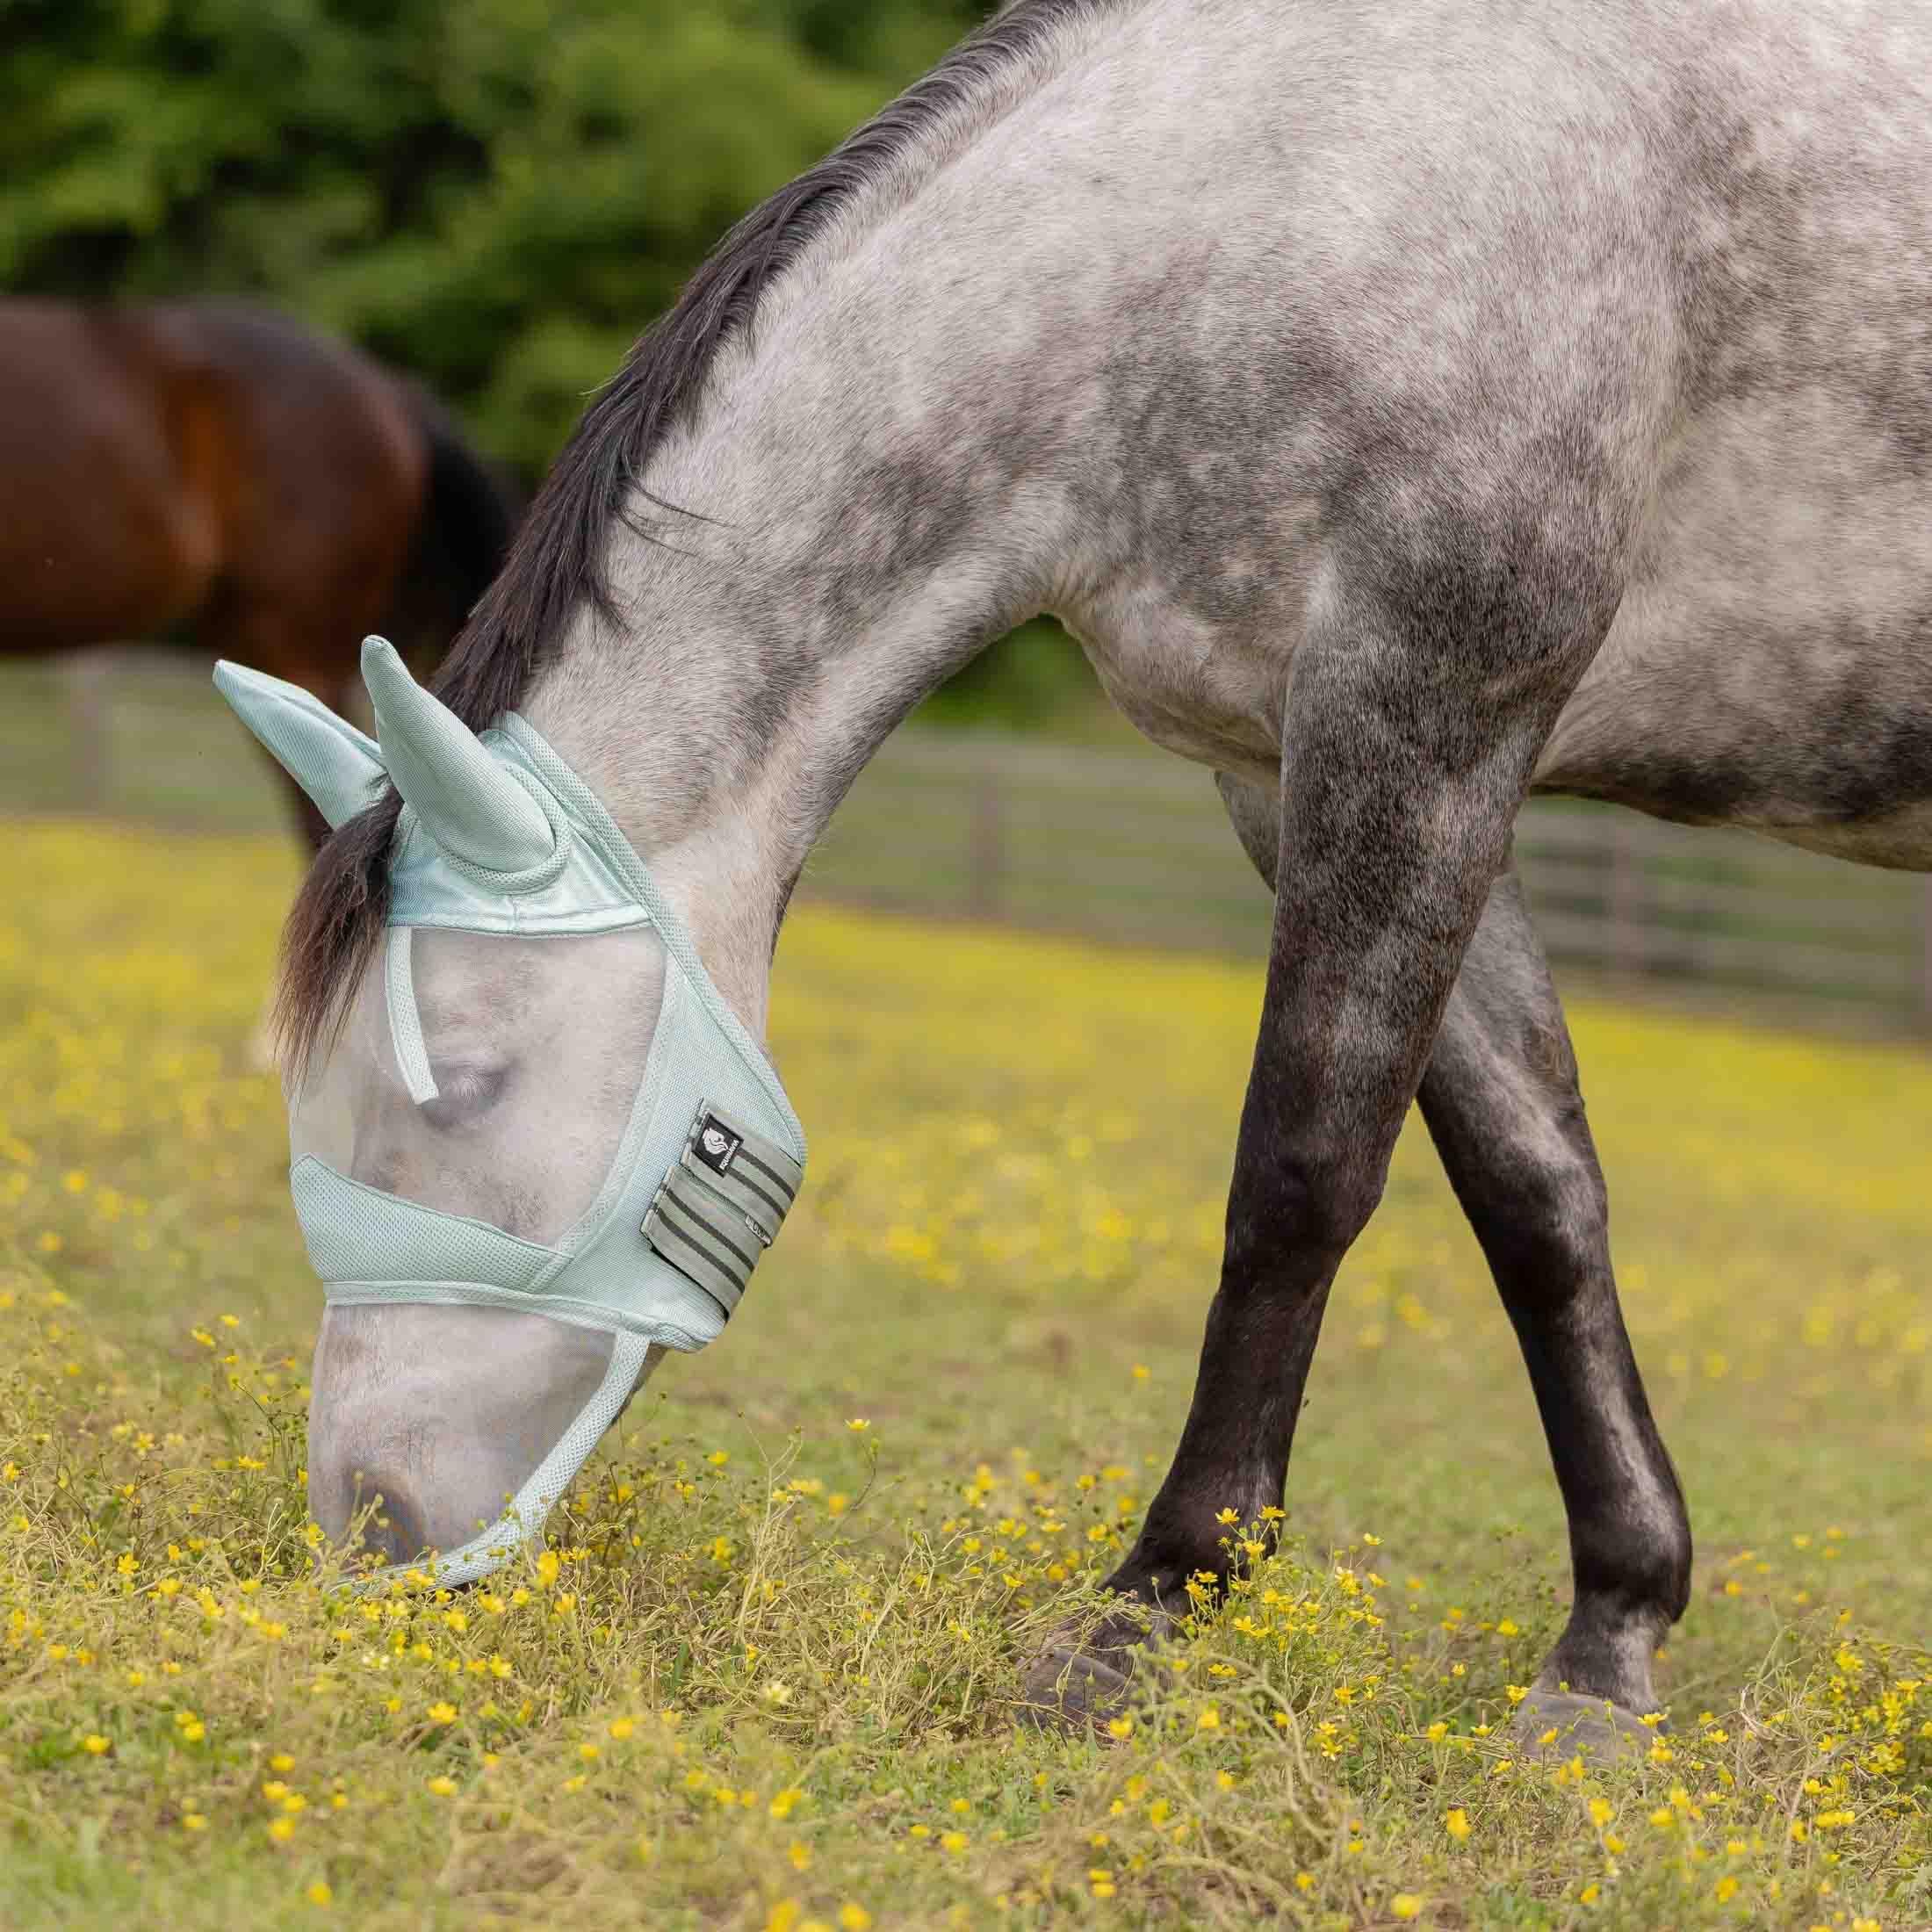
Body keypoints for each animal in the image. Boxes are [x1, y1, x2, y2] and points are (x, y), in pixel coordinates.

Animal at [260, 0, 1929, 1747]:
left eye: (469, 1084)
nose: (374, 1528)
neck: (1293, 188)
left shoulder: (1424, 720)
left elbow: (1302, 1175)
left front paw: (1155, 1607)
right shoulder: (1305, 768)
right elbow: (1538, 1194)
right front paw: (1609, 1645)